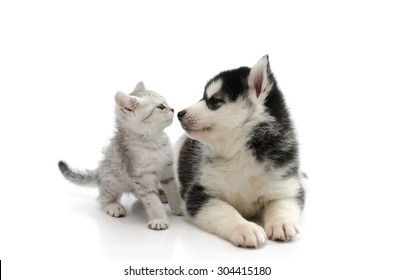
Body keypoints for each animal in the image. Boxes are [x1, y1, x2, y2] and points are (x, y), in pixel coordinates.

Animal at [58, 81, 184, 230]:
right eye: (160, 107)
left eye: (166, 103)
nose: (173, 109)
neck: (153, 141)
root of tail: (99, 173)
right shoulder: (142, 177)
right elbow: (151, 200)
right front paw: (159, 219)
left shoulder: (167, 169)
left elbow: (173, 190)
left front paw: (179, 207)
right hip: (112, 179)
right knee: (102, 198)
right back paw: (114, 206)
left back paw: (162, 194)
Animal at [176, 54, 304, 247]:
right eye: (203, 98)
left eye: (214, 101)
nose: (179, 114)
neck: (239, 151)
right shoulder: (198, 193)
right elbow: (225, 210)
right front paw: (246, 228)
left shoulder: (286, 185)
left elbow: (282, 204)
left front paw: (281, 223)